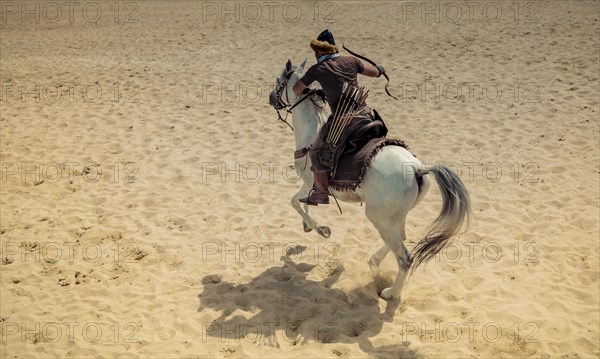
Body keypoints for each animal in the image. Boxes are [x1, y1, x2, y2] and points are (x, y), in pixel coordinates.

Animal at [270, 60, 472, 302]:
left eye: (279, 82)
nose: (271, 98)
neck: (312, 134)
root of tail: (418, 168)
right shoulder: (309, 186)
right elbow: (300, 203)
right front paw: (309, 226)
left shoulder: (311, 184)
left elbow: (295, 201)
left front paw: (320, 229)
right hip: (392, 217)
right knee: (401, 237)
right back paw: (374, 262)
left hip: (379, 216)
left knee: (405, 258)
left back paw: (390, 293)